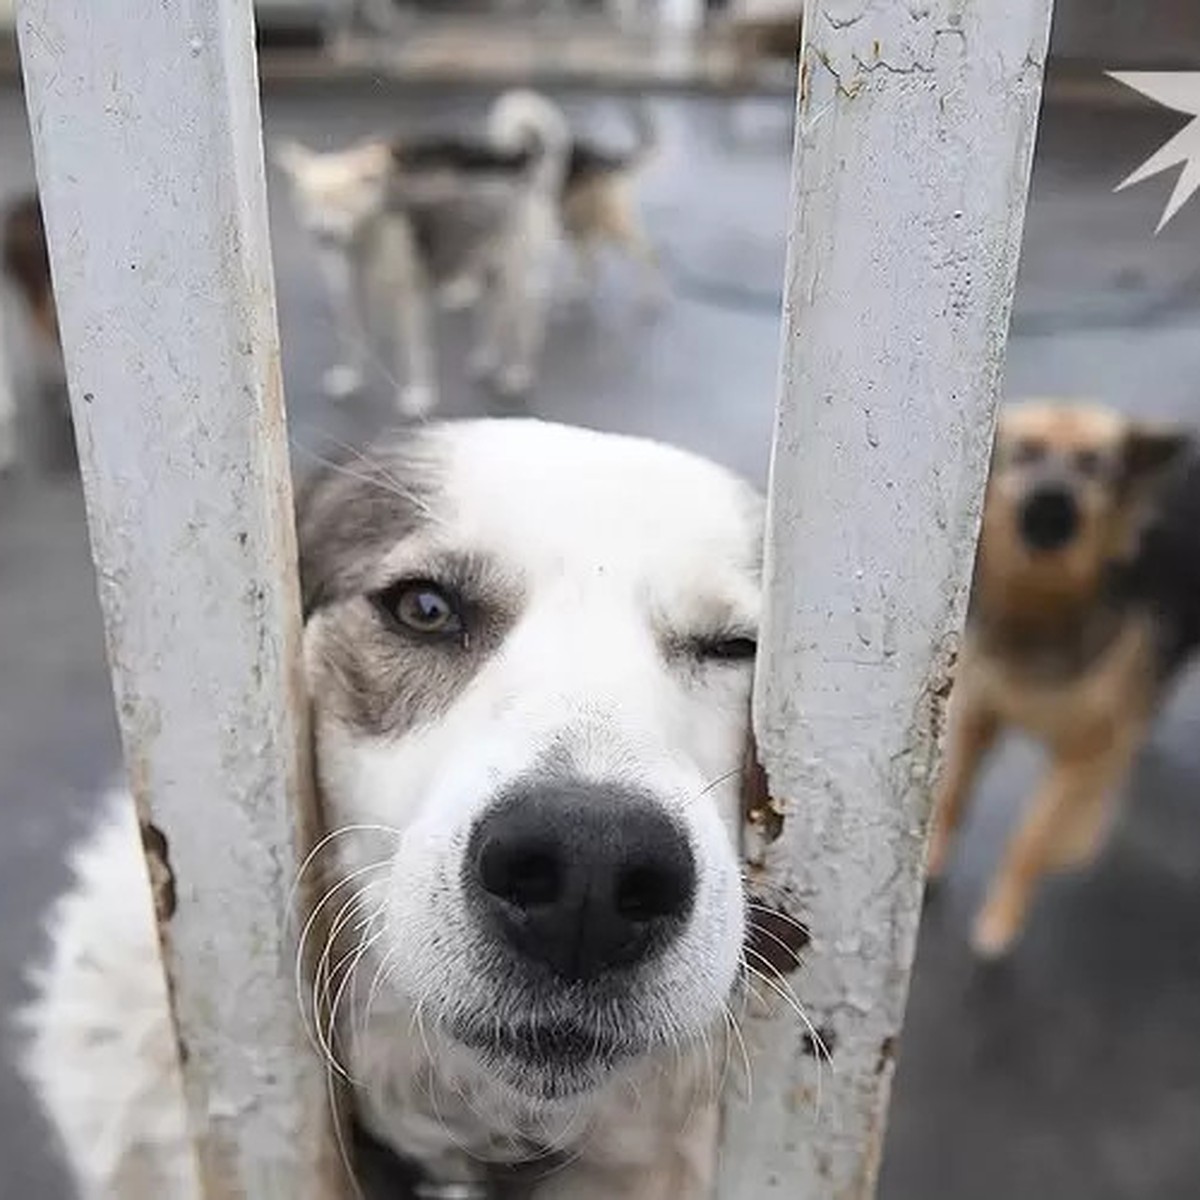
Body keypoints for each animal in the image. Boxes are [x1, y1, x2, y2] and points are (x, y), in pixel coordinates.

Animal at [926, 403, 1200, 955]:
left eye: (1093, 465)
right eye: (1025, 453)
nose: (1053, 498)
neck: (1042, 604)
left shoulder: (1085, 756)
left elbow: (1032, 838)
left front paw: (1002, 916)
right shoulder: (978, 711)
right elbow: (954, 796)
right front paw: (930, 864)